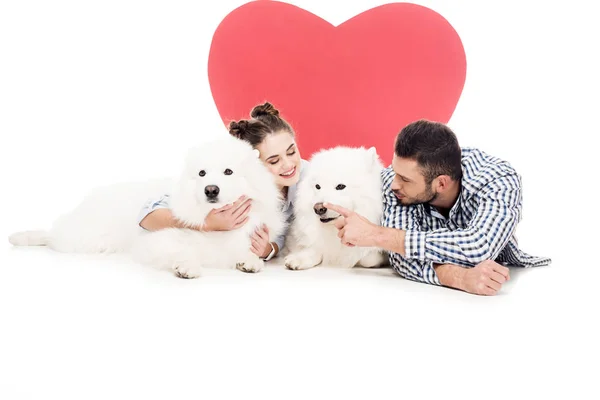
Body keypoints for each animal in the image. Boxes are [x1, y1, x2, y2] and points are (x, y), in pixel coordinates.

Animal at [8, 137, 286, 278]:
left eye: (228, 172)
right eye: (202, 173)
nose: (211, 190)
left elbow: (247, 252)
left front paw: (250, 261)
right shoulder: (157, 241)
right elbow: (183, 252)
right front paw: (187, 266)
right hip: (86, 237)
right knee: (53, 235)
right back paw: (23, 237)